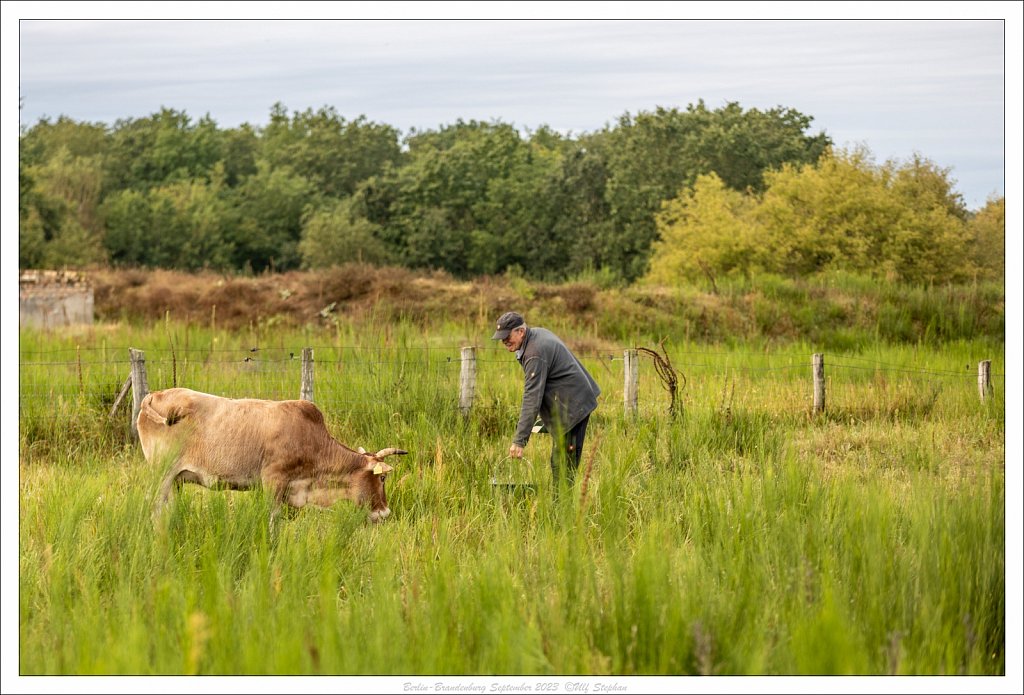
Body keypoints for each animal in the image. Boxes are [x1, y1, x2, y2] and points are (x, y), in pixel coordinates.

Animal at [137, 386, 407, 522]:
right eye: (383, 478)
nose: (385, 513)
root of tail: (154, 395)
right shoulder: (273, 482)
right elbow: (272, 520)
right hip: (162, 474)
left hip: (175, 480)